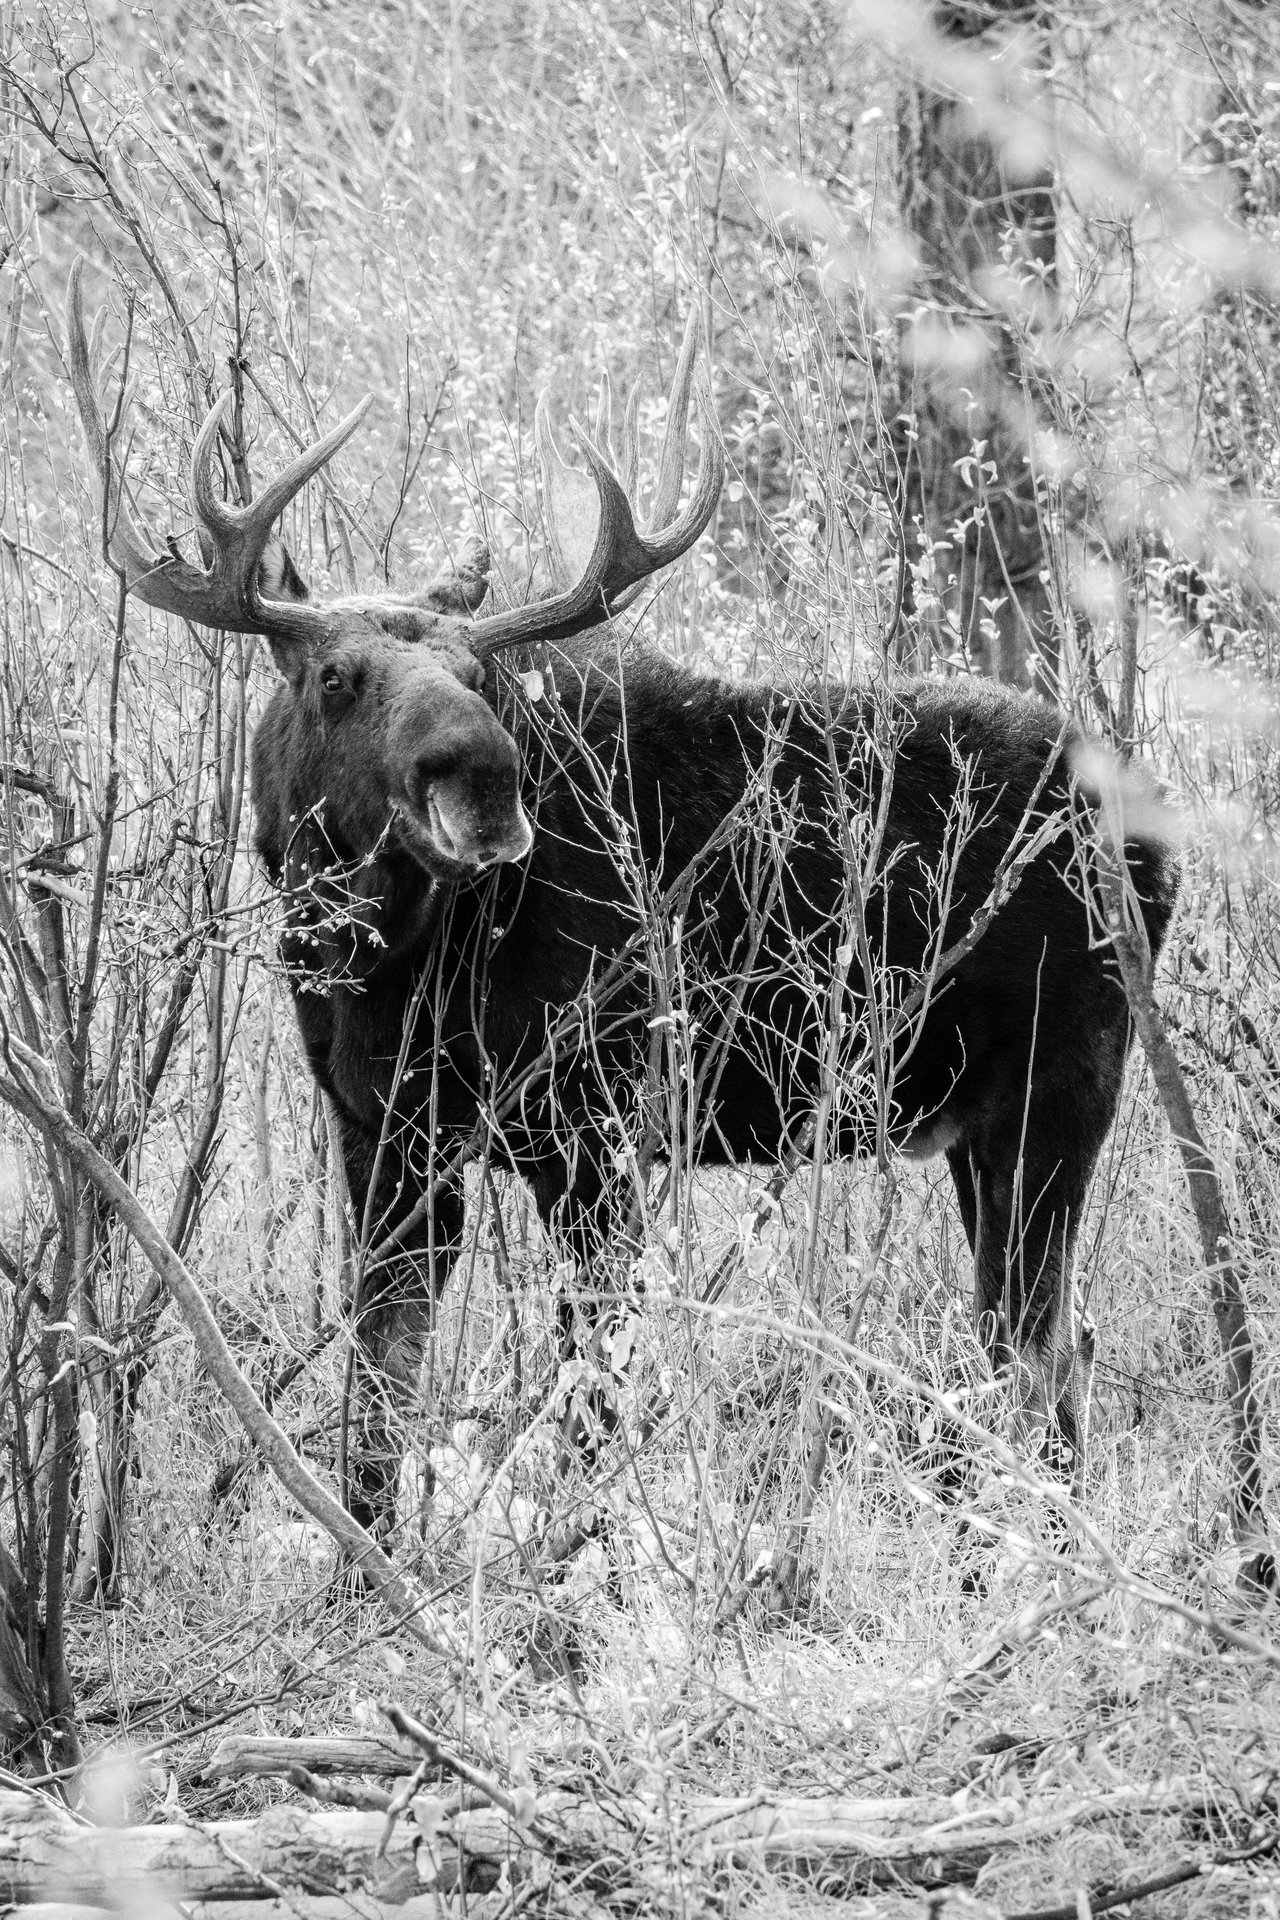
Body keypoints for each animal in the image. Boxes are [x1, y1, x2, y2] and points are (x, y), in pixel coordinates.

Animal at [66, 261, 1177, 1545]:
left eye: (481, 672)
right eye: (337, 676)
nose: (481, 773)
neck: (384, 969)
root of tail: (1164, 853)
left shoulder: (593, 1129)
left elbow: (592, 1388)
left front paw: (568, 1566)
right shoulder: (383, 1134)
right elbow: (381, 1390)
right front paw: (367, 1563)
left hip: (1058, 1089)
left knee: (1035, 1349)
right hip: (981, 1122)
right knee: (1050, 1343)